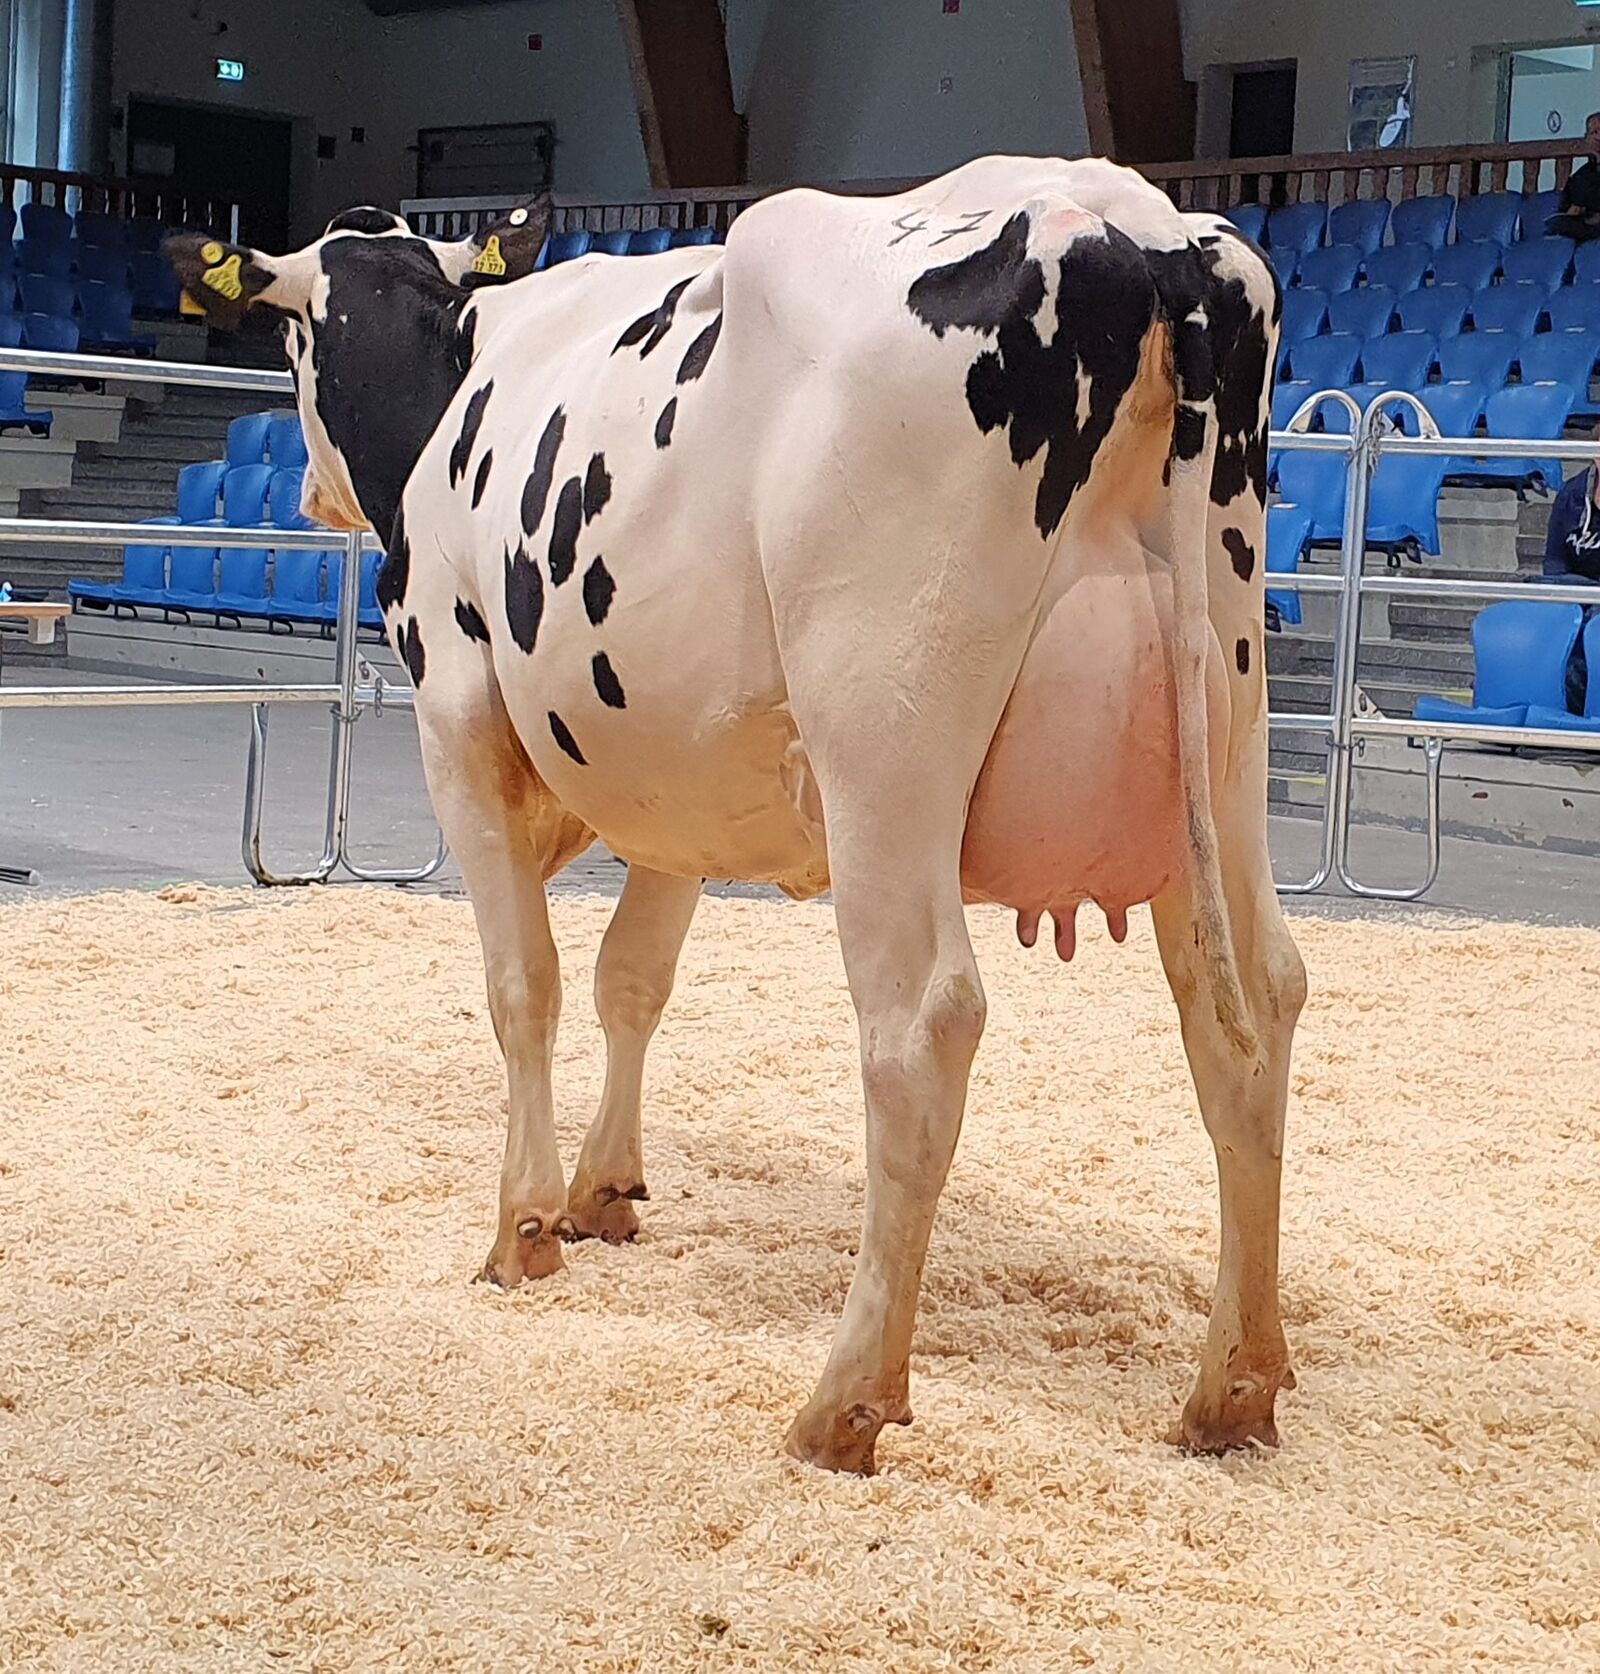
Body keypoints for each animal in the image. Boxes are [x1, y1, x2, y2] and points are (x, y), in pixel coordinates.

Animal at [171, 154, 1298, 1466]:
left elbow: (524, 986)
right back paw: (1234, 1384)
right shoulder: (673, 772)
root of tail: (1137, 227)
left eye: (289, 332)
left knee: (922, 1026)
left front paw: (524, 1228)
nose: (308, 491)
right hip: (1223, 732)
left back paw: (844, 1401)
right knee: (1253, 1002)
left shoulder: (457, 717)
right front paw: (605, 1192)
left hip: (884, 737)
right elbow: (633, 978)